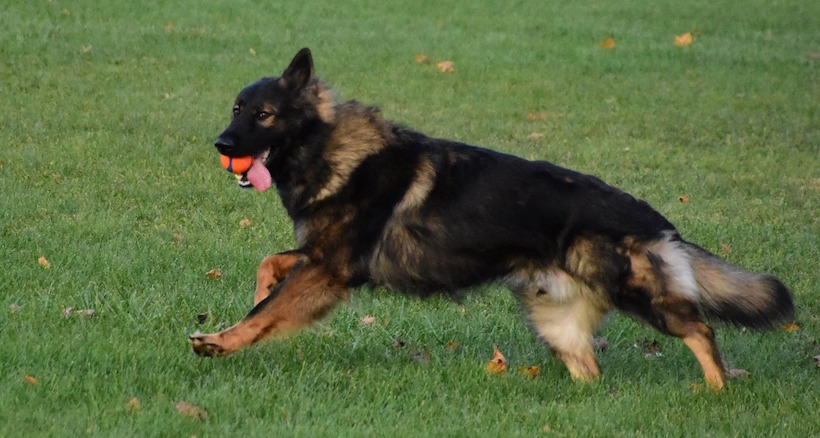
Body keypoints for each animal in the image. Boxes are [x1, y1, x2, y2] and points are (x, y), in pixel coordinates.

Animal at [192, 48, 796, 390]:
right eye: (235, 109)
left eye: (264, 114)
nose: (220, 145)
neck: (330, 149)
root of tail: (657, 220)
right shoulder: (320, 256)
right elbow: (269, 265)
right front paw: (254, 295)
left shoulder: (329, 269)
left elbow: (269, 311)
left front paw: (222, 340)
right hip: (556, 321)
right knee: (591, 371)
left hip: (640, 294)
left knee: (701, 328)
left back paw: (716, 390)